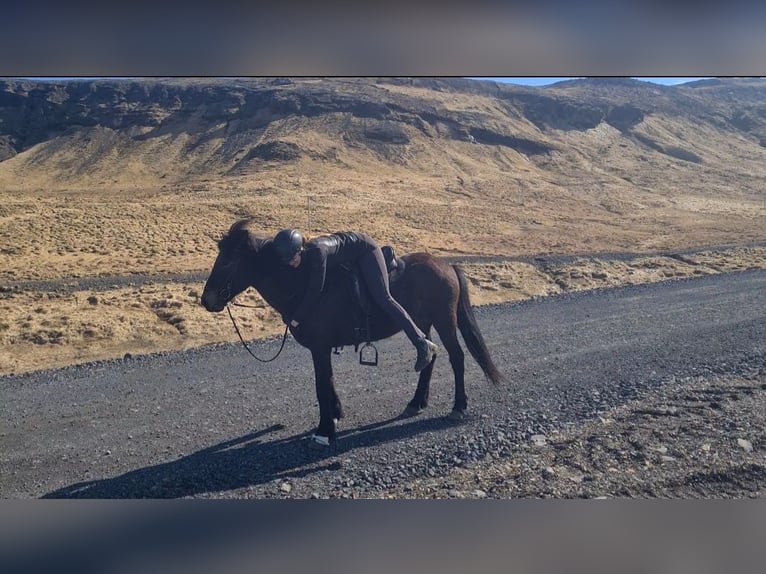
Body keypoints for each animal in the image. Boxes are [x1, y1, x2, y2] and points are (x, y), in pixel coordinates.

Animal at [201, 218, 508, 448]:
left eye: (227, 261)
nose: (207, 300)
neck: (301, 283)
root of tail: (446, 265)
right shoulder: (322, 348)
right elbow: (328, 383)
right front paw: (335, 416)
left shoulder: (320, 346)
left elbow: (321, 385)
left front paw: (325, 430)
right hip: (424, 322)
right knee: (429, 356)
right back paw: (416, 402)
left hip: (445, 321)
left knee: (457, 358)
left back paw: (458, 406)